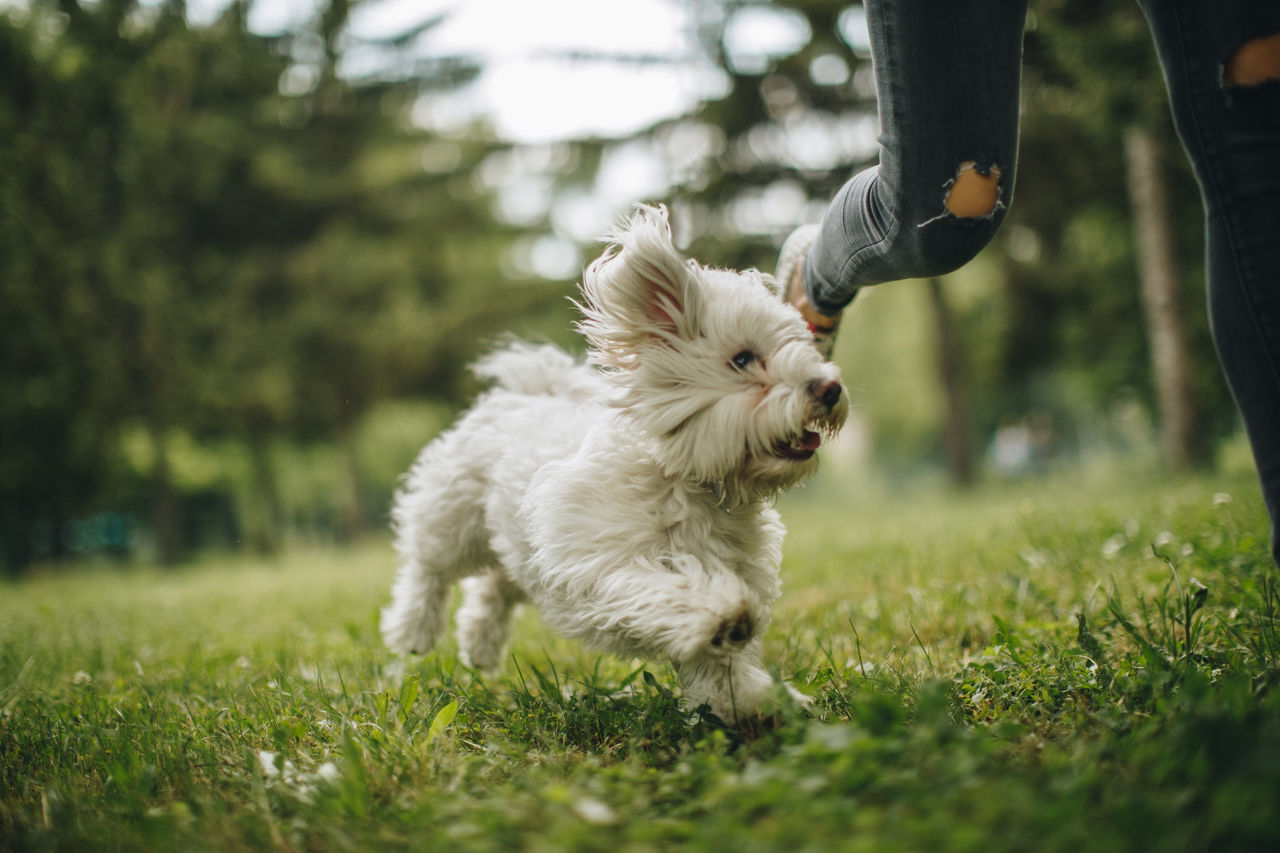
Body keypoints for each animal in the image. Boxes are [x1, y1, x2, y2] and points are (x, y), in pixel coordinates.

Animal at [378, 204, 844, 717]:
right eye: (743, 359)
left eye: (803, 347)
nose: (829, 388)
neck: (686, 480)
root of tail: (531, 391)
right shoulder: (603, 566)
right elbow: (668, 590)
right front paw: (724, 615)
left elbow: (721, 672)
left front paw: (758, 699)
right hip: (453, 516)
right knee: (427, 570)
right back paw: (413, 630)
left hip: (519, 541)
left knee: (495, 584)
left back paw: (480, 645)